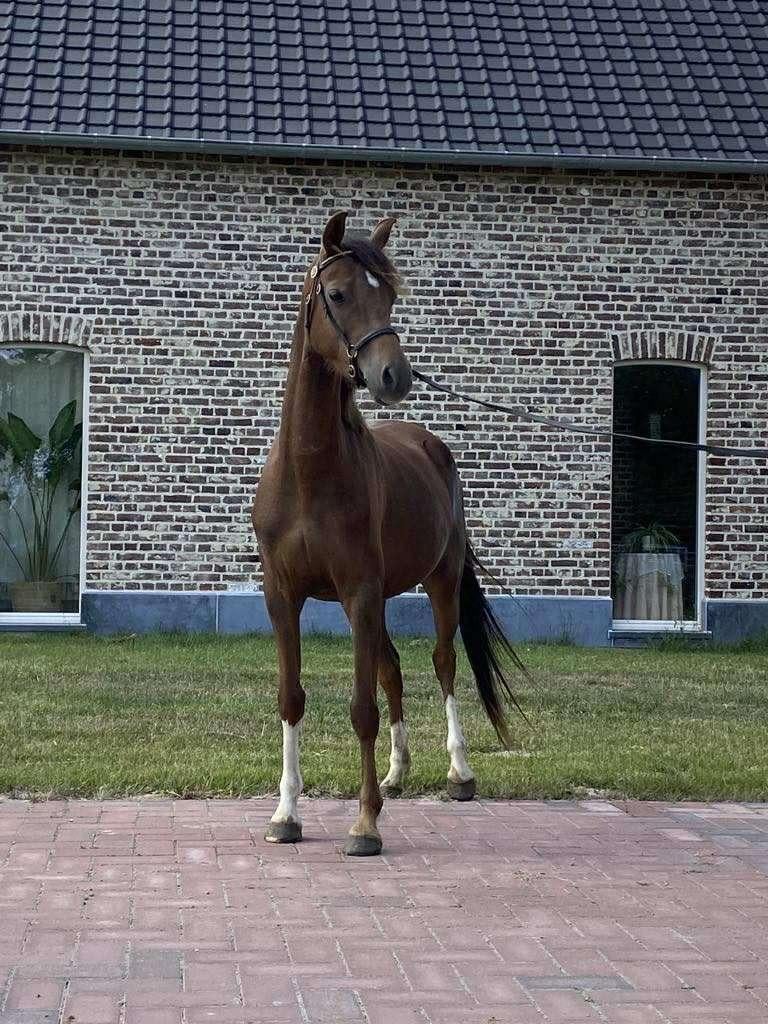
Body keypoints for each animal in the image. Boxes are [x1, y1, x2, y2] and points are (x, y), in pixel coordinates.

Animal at [251, 211, 522, 856]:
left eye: (391, 295)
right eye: (338, 294)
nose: (393, 374)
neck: (309, 472)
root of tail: (431, 444)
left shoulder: (359, 591)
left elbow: (362, 708)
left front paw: (365, 824)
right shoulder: (283, 596)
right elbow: (292, 698)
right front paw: (286, 815)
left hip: (437, 582)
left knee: (444, 662)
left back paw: (458, 773)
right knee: (393, 665)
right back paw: (398, 775)